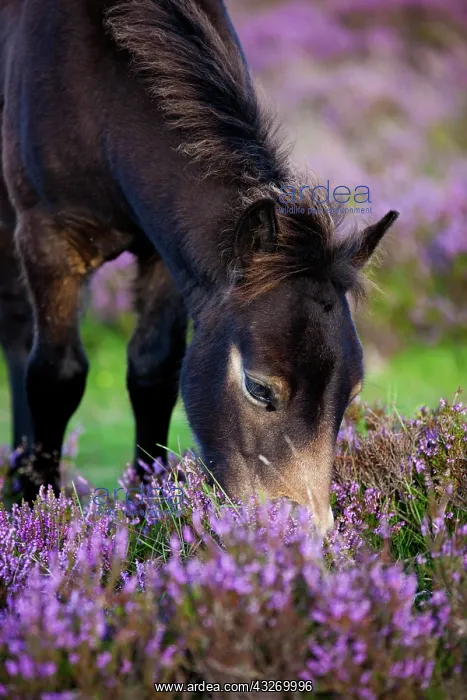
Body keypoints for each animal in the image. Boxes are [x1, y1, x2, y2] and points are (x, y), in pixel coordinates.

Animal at [0, 0, 398, 534]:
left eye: (352, 393)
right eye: (258, 387)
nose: (301, 533)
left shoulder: (165, 256)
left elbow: (153, 373)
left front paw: (144, 513)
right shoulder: (49, 239)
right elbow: (55, 377)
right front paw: (38, 511)